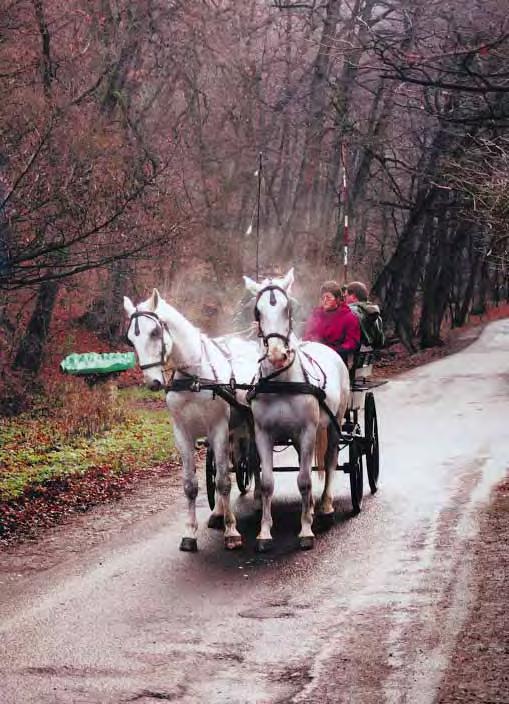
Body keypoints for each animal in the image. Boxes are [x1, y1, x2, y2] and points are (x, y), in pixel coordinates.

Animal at [123, 288, 258, 552]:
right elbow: (191, 485)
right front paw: (190, 533)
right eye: (131, 340)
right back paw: (217, 512)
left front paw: (231, 531)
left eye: (155, 332)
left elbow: (224, 482)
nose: (153, 382)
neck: (194, 378)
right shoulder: (182, 434)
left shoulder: (218, 429)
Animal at [245, 268, 350, 552]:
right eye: (257, 311)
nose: (276, 354)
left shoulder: (307, 432)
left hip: (333, 424)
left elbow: (304, 480)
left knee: (330, 461)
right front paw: (264, 533)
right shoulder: (263, 434)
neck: (282, 381)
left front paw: (305, 530)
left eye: (287, 308)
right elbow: (267, 483)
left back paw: (325, 506)